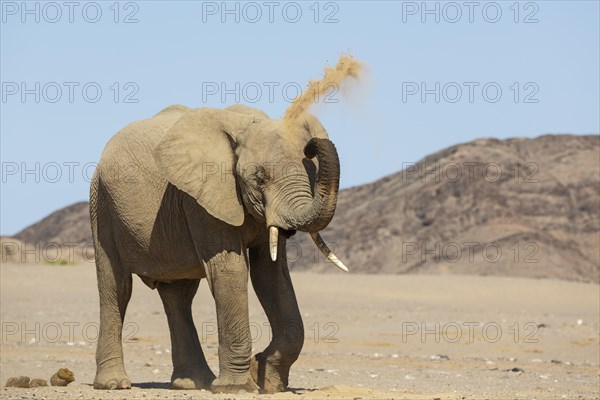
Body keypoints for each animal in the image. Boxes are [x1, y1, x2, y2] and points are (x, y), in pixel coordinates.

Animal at [89, 104, 346, 394]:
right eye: (260, 178)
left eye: (312, 174)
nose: (312, 146)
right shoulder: (203, 197)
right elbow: (230, 270)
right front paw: (239, 388)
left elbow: (270, 275)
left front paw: (267, 380)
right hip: (102, 202)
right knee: (116, 287)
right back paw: (114, 384)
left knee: (178, 296)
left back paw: (193, 383)